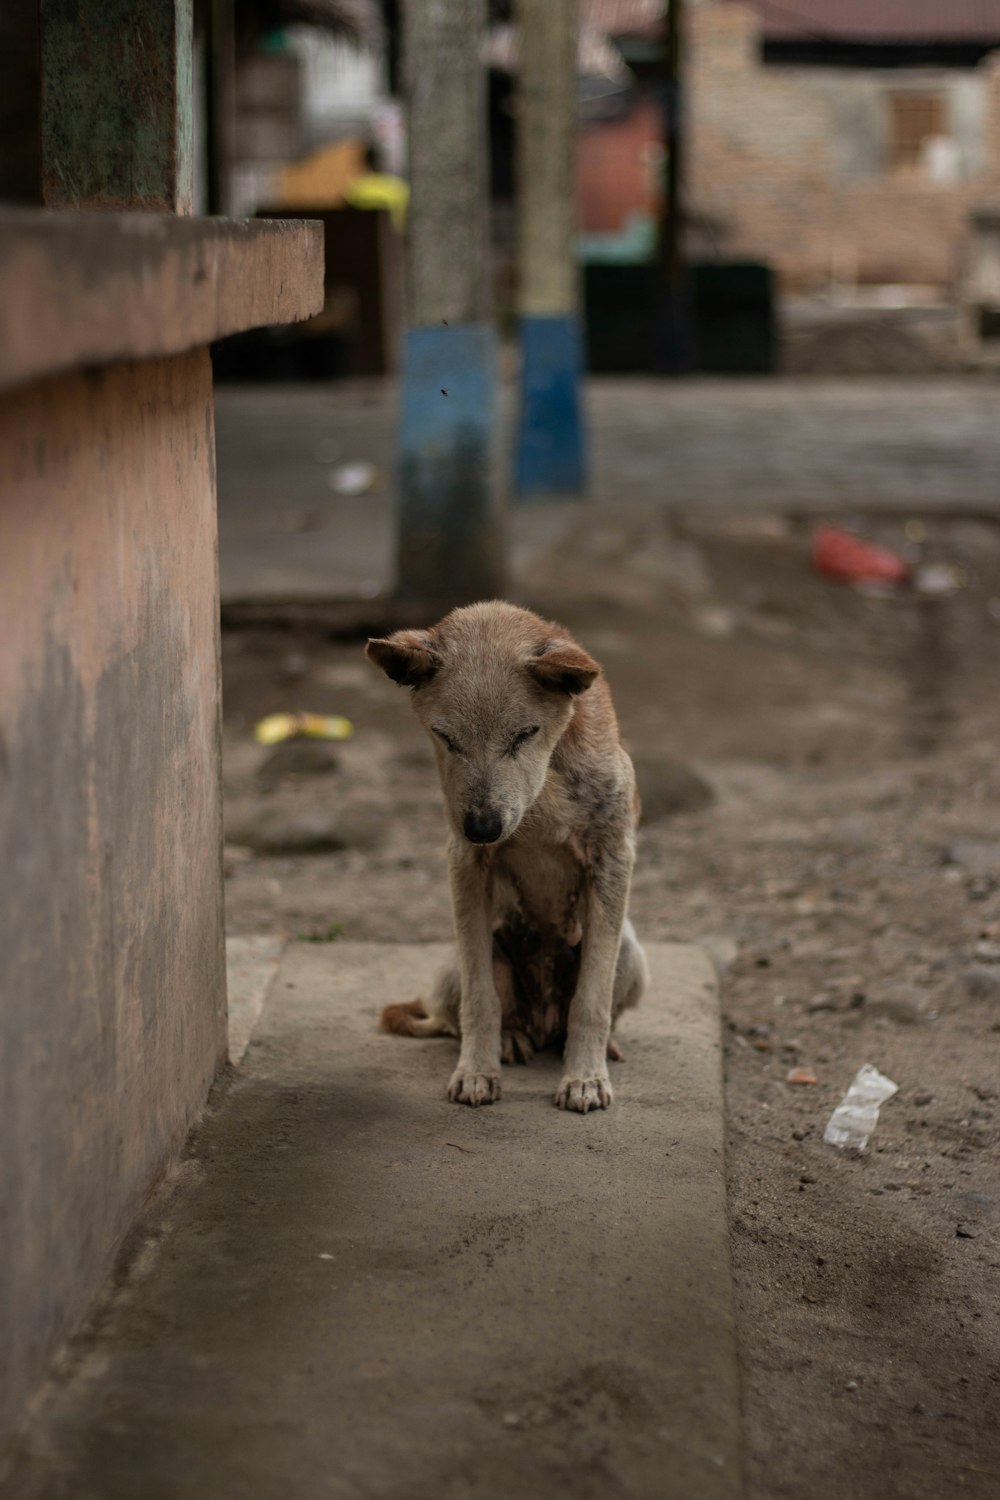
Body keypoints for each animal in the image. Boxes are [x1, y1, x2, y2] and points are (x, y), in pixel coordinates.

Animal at [367, 600, 650, 1116]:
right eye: (445, 737)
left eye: (524, 734)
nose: (483, 828)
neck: (543, 796)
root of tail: (543, 1021)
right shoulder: (465, 864)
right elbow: (481, 1000)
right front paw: (477, 1072)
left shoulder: (612, 859)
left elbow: (591, 1001)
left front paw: (584, 1078)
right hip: (460, 960)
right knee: (466, 1014)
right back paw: (512, 1039)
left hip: (631, 952)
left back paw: (601, 1047)